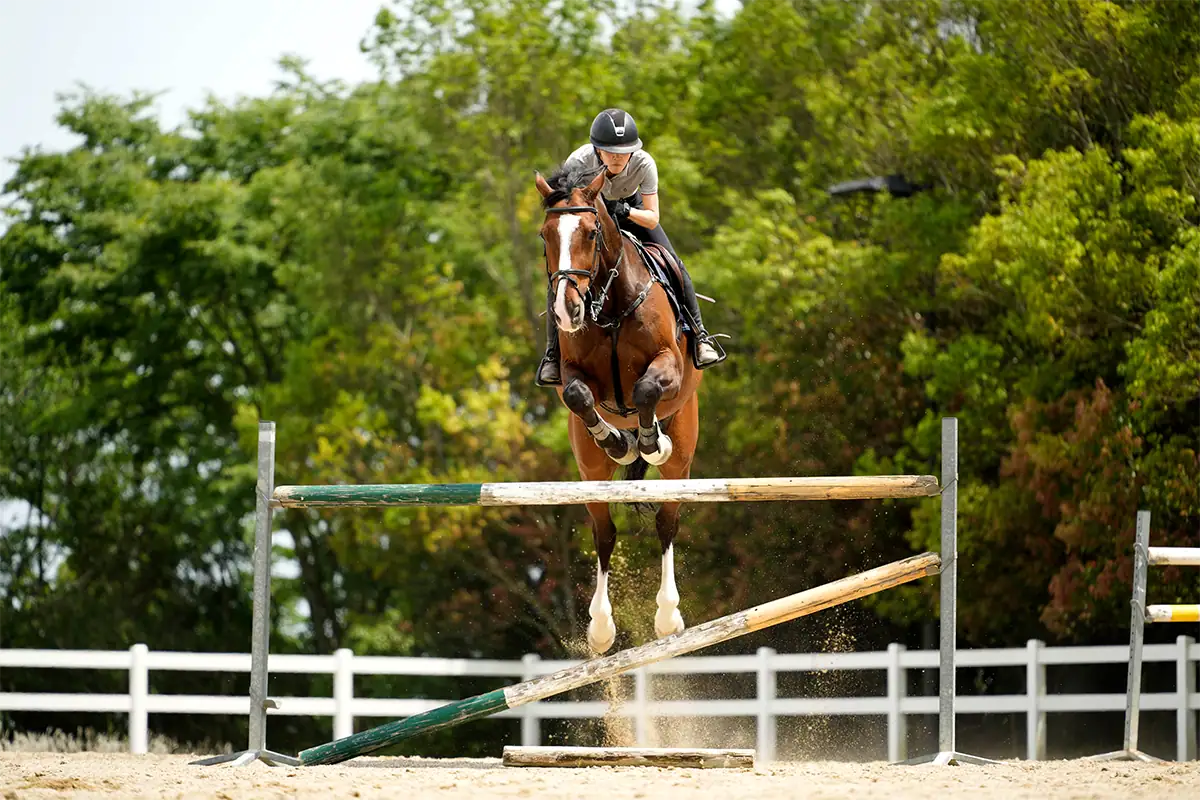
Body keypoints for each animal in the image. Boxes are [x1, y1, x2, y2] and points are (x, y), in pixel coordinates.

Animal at [535, 164, 703, 654]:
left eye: (591, 233)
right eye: (545, 235)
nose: (566, 310)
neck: (607, 305)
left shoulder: (669, 366)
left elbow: (646, 388)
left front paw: (648, 441)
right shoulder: (571, 377)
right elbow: (579, 396)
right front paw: (615, 441)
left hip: (683, 455)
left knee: (667, 523)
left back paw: (667, 617)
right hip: (589, 474)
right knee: (604, 532)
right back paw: (600, 628)